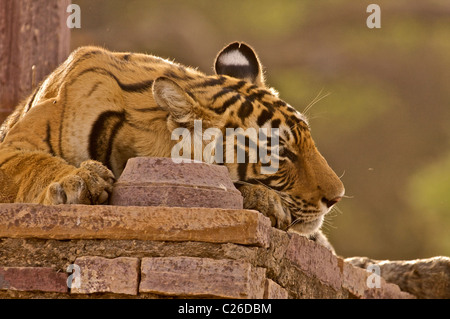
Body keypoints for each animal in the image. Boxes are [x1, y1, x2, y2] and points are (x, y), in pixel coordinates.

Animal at [0, 42, 344, 251]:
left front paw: (268, 202)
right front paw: (81, 180)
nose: (337, 197)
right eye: (282, 153)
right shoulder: (12, 148)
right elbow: (35, 164)